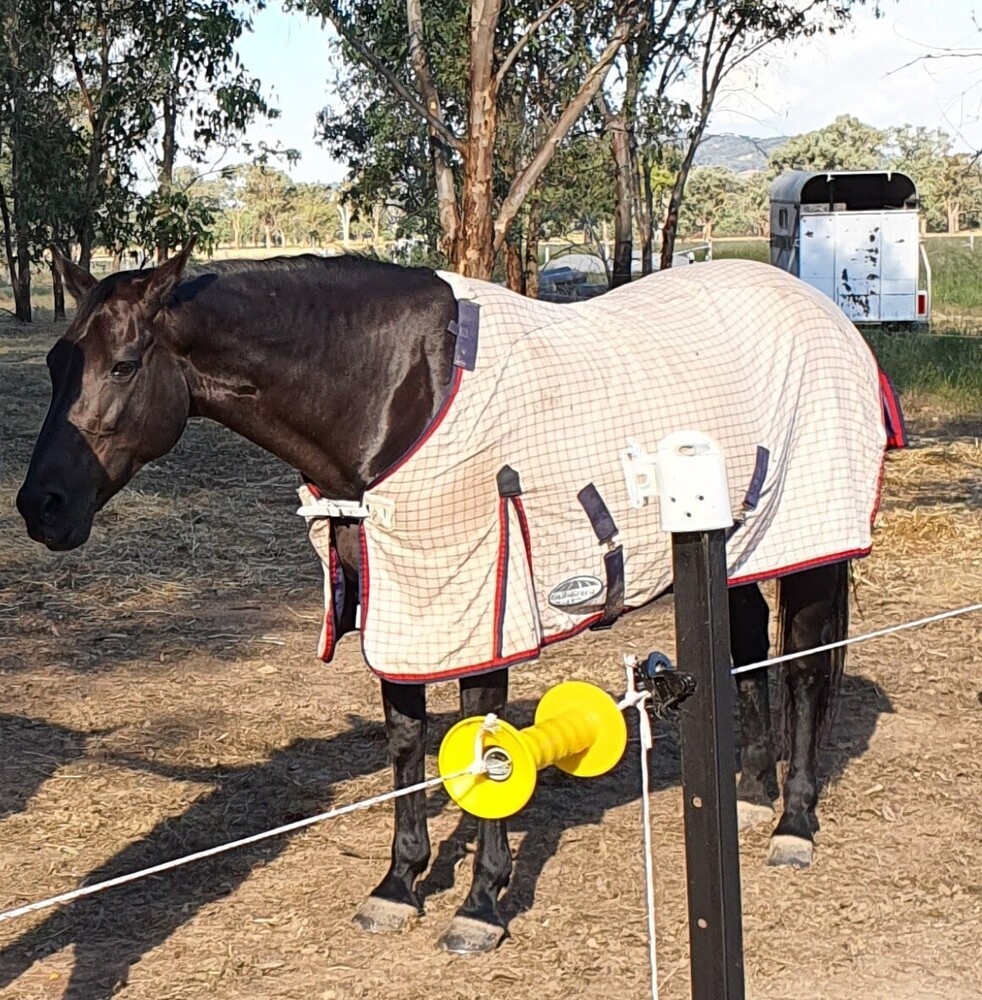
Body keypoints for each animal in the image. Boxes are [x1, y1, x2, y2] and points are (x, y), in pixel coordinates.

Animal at [17, 241, 899, 954]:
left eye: (122, 365)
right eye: (58, 363)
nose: (41, 507)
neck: (396, 387)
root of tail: (823, 310)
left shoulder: (481, 599)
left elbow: (486, 744)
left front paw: (481, 904)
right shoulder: (402, 601)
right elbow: (408, 741)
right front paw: (398, 885)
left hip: (810, 540)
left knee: (806, 671)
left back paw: (794, 823)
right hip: (739, 547)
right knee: (748, 657)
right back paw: (749, 797)